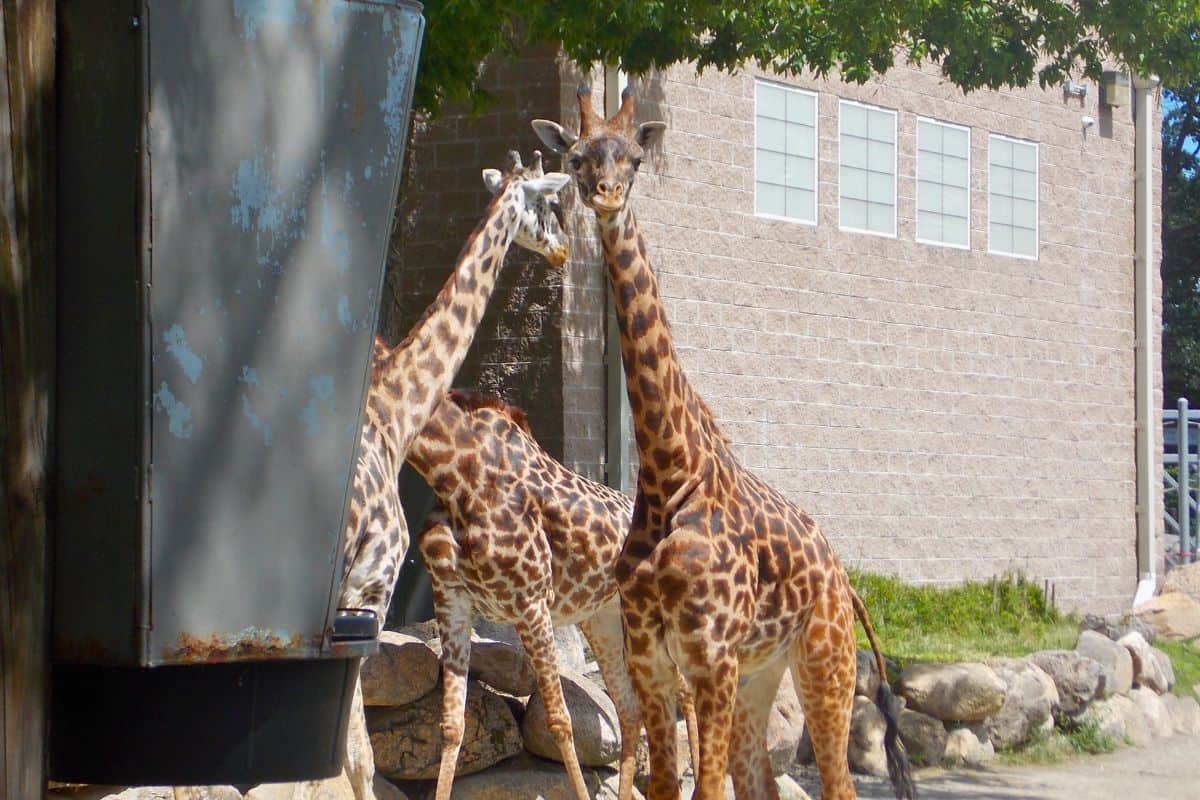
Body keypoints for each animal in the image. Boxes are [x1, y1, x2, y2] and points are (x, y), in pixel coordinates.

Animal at [407, 389, 700, 800]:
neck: (454, 473)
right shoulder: (451, 601)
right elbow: (451, 724)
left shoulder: (530, 603)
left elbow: (560, 721)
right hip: (605, 620)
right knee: (630, 710)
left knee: (685, 695)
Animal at [532, 90, 915, 800]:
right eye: (575, 158)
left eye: (632, 157)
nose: (604, 194)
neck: (668, 472)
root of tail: (845, 582)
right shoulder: (652, 654)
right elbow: (666, 784)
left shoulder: (709, 657)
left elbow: (703, 788)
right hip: (762, 673)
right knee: (759, 777)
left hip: (824, 661)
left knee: (837, 783)